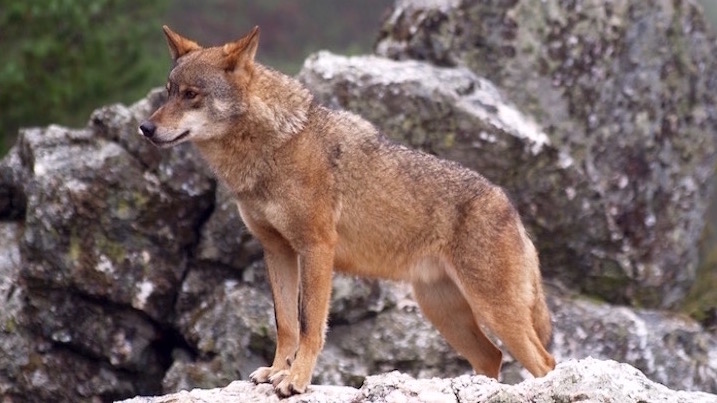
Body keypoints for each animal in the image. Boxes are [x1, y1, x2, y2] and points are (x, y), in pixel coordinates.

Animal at [138, 26, 552, 398]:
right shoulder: (277, 251)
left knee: (545, 363)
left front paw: (295, 380)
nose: (145, 127)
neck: (274, 147)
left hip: (495, 313)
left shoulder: (317, 249)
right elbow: (285, 323)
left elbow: (309, 325)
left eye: (192, 95)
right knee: (492, 357)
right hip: (446, 314)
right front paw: (275, 371)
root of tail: (510, 206)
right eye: (168, 92)